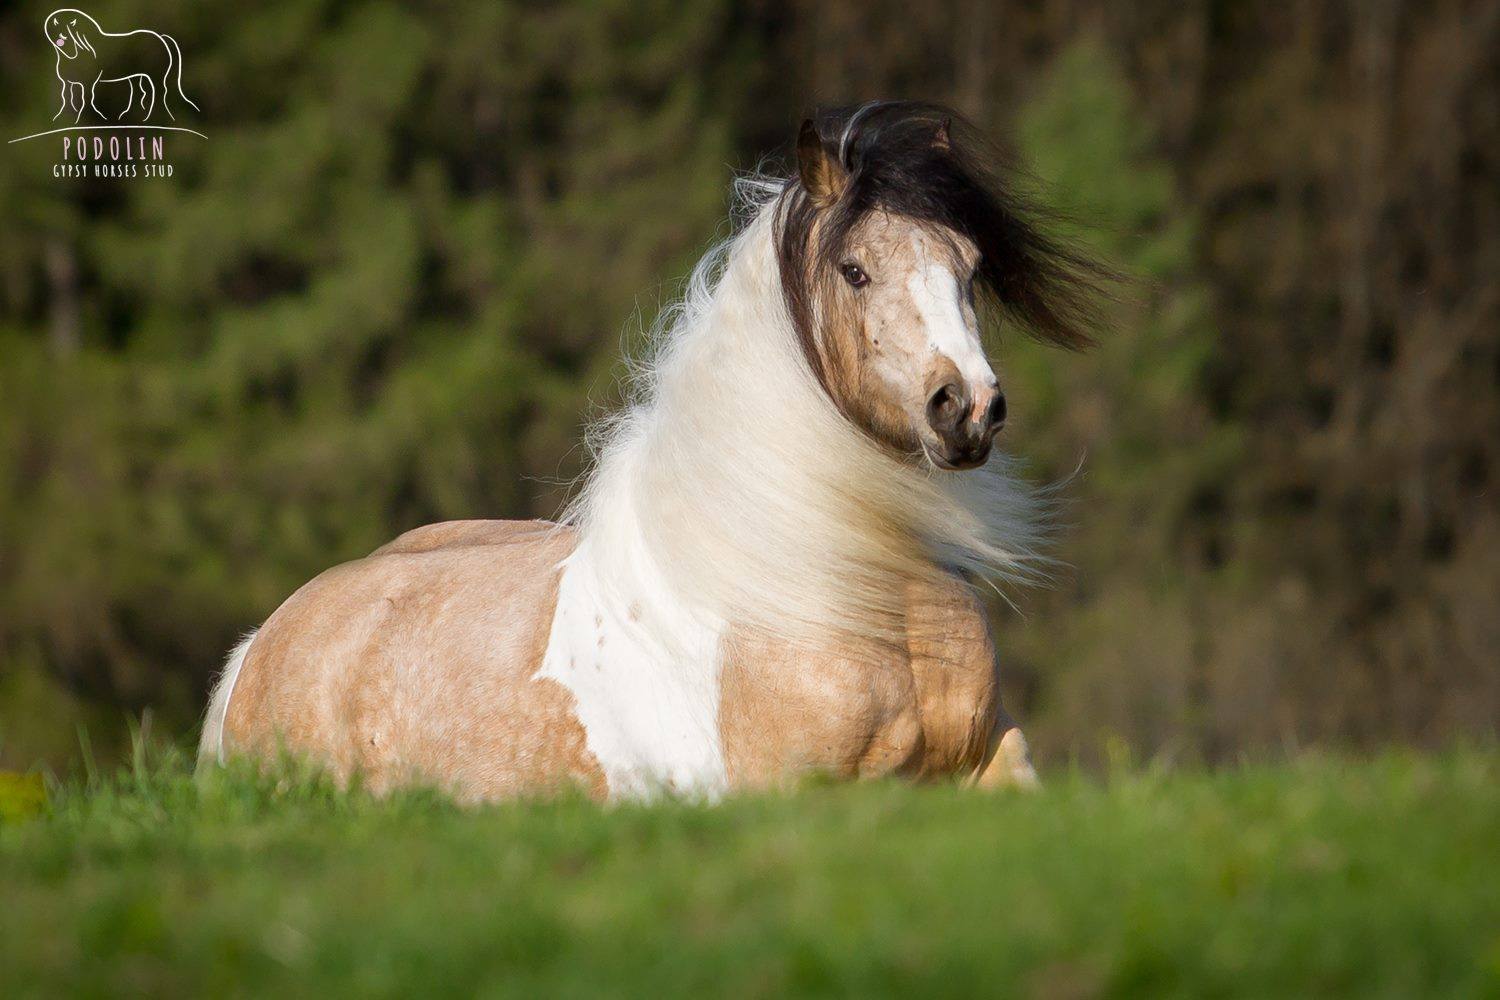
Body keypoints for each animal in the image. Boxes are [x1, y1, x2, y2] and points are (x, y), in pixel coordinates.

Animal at [45, 8, 199, 124]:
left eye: (73, 23)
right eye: (55, 22)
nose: (62, 36)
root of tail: (161, 37)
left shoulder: (88, 83)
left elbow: (87, 99)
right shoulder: (66, 83)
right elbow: (66, 99)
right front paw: (61, 118)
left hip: (156, 77)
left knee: (159, 93)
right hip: (135, 76)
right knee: (138, 93)